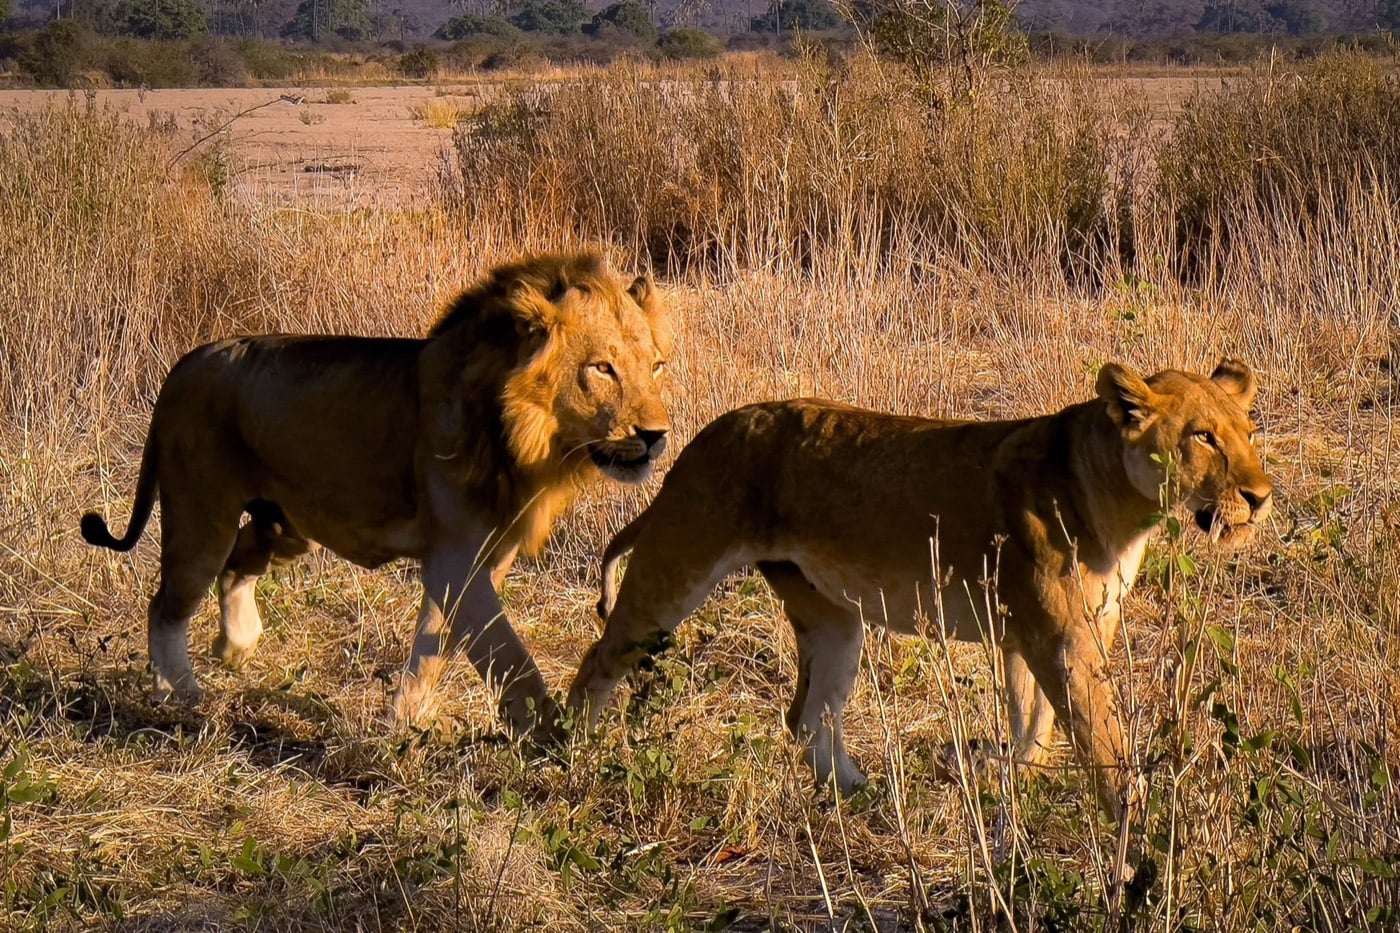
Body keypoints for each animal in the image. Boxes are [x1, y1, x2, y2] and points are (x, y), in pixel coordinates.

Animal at [81, 250, 673, 741]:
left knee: (238, 565)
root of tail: (187, 362)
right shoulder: (456, 559)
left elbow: (435, 648)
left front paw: (400, 723)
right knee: (168, 604)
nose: (656, 436)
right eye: (602, 368)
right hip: (203, 513)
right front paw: (554, 734)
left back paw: (236, 643)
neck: (527, 438)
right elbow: (508, 653)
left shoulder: (487, 557)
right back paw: (178, 694)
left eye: (656, 366)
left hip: (285, 523)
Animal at [568, 360, 1273, 818]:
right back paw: (566, 755)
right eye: (1203, 437)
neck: (1123, 509)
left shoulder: (1044, 631)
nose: (1261, 498)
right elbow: (1100, 736)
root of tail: (704, 436)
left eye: (1248, 431)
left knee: (808, 717)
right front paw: (1138, 832)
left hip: (834, 617)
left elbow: (1034, 720)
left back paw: (866, 795)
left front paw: (1012, 777)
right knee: (598, 659)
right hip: (677, 569)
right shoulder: (1061, 637)